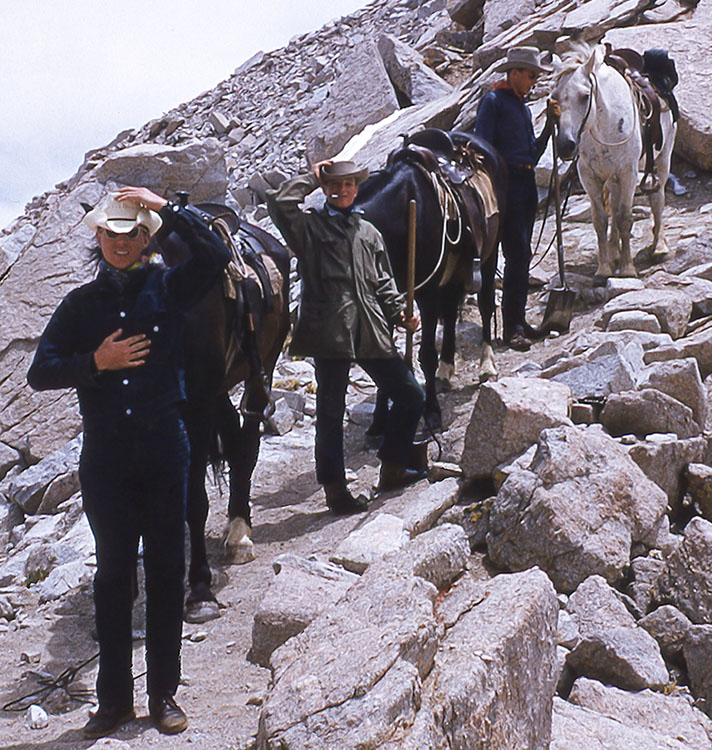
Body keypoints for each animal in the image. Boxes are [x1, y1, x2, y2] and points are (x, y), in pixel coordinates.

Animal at [152, 206, 290, 624]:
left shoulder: (197, 408)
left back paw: (240, 532)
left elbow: (195, 501)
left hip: (261, 369)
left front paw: (199, 592)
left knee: (246, 446)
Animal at [356, 129, 506, 434]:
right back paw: (446, 369)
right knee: (449, 315)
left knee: (485, 304)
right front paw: (379, 422)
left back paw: (486, 365)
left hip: (489, 254)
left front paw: (432, 415)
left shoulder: (424, 293)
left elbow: (425, 354)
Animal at [552, 44, 676, 280]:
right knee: (614, 204)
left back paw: (660, 246)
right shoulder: (590, 177)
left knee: (657, 199)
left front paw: (628, 268)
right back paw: (614, 251)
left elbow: (625, 216)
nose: (565, 146)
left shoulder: (628, 173)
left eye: (585, 96)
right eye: (554, 97)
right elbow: (601, 220)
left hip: (662, 160)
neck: (605, 125)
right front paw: (603, 268)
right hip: (611, 177)